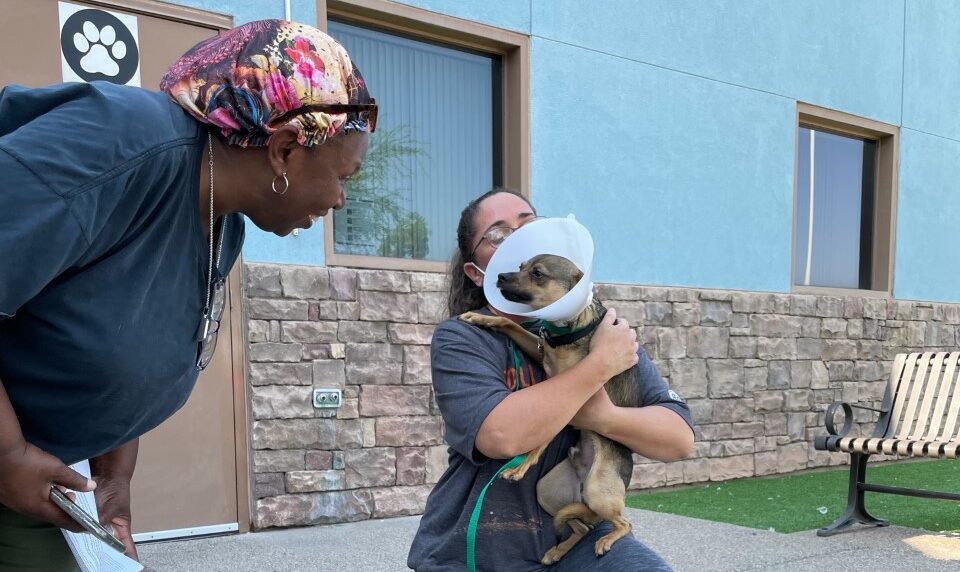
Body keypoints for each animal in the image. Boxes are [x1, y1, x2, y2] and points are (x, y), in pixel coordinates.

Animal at [462, 254, 640, 564]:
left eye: (538, 274)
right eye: (520, 267)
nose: (500, 276)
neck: (565, 328)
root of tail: (582, 484)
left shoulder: (572, 402)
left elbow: (540, 441)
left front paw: (519, 468)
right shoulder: (540, 350)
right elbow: (511, 324)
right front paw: (482, 317)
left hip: (597, 490)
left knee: (625, 523)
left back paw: (606, 540)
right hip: (548, 492)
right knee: (580, 526)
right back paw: (557, 551)